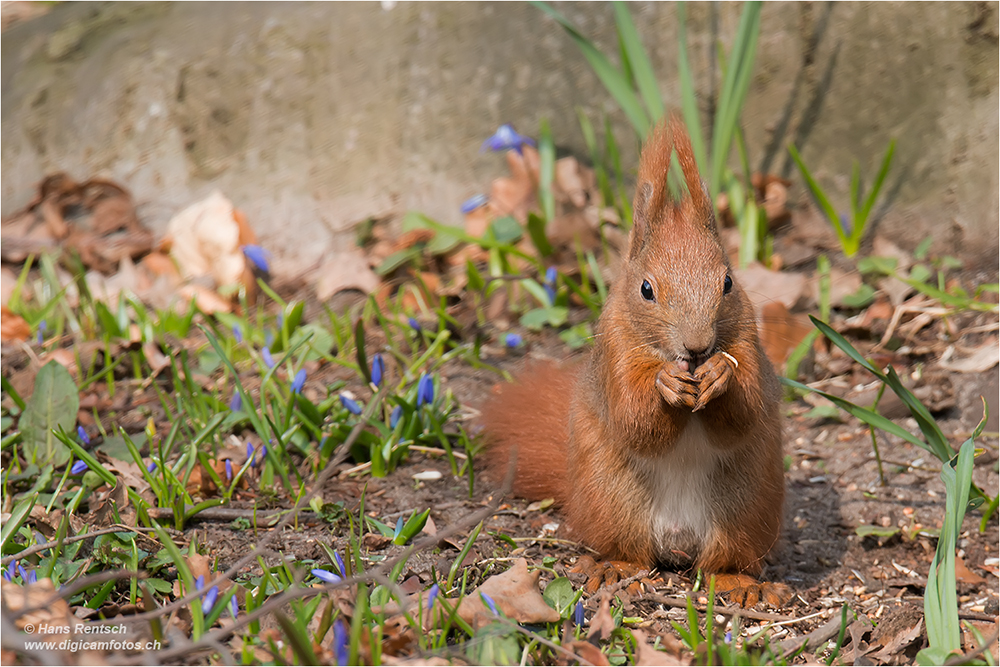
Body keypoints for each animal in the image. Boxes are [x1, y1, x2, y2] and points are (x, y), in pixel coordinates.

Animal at [484, 117, 788, 608]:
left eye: (727, 282)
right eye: (646, 289)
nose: (697, 347)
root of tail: (679, 542)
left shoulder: (748, 343)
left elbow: (744, 414)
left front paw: (721, 374)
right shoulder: (616, 352)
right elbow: (633, 419)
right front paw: (666, 383)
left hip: (744, 507)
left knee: (722, 561)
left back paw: (740, 584)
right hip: (615, 500)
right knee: (631, 551)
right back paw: (615, 570)